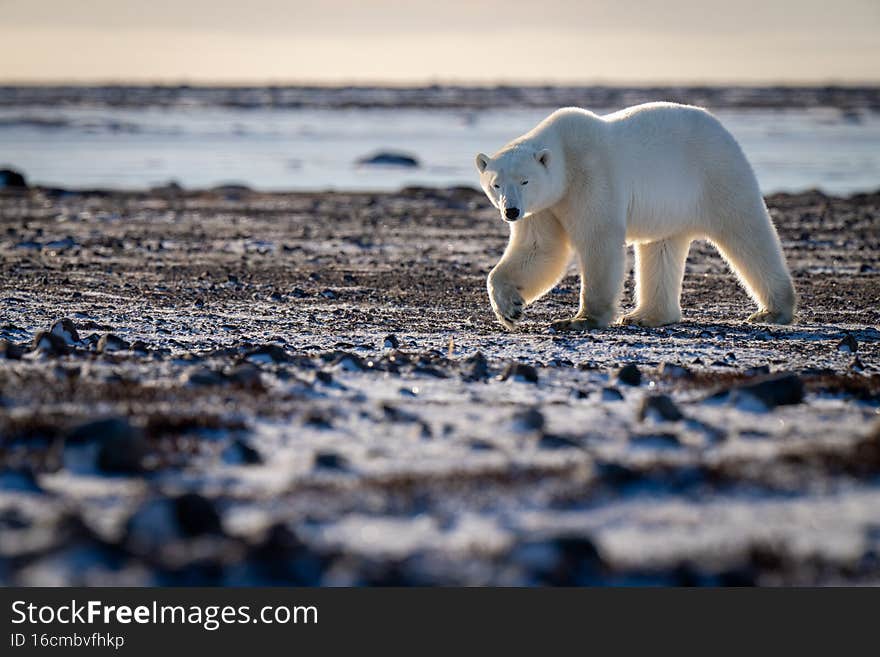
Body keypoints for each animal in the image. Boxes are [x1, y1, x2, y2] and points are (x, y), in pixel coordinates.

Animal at [475, 102, 796, 331]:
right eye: (497, 184)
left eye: (525, 180)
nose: (511, 211)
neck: (566, 157)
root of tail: (721, 127)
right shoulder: (544, 206)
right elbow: (539, 249)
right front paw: (510, 309)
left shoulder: (590, 177)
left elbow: (599, 240)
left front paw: (580, 319)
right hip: (670, 205)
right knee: (662, 248)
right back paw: (646, 315)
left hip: (716, 173)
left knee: (746, 232)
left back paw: (772, 310)